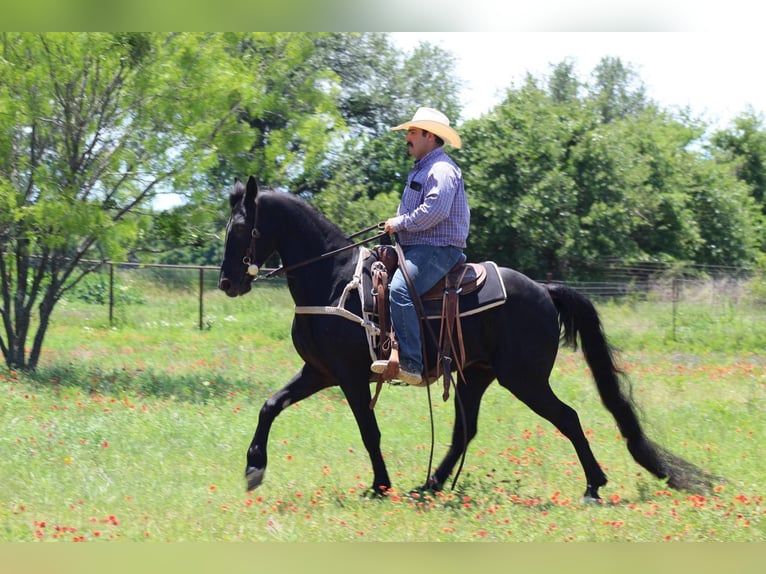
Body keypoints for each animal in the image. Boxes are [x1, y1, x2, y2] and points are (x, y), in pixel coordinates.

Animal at [218, 175, 713, 500]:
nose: (227, 283)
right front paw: (254, 467)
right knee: (465, 430)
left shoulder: (350, 376)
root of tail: (544, 290)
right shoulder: (319, 371)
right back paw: (430, 485)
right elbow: (270, 405)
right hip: (478, 375)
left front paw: (380, 485)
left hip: (523, 378)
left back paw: (593, 485)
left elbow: (369, 432)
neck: (335, 279)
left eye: (241, 229)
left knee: (567, 418)